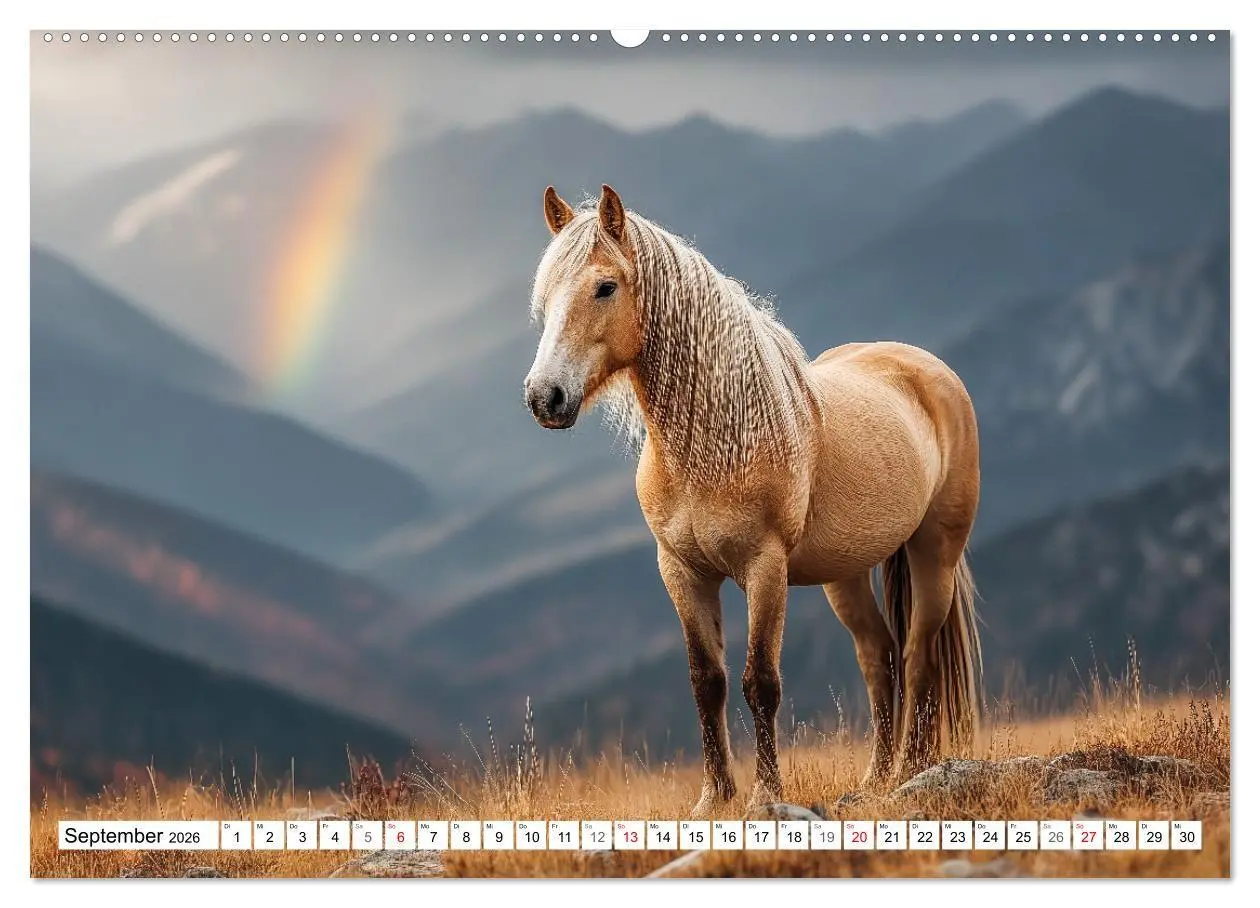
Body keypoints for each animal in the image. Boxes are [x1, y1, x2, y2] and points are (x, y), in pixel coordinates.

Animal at [523, 183, 982, 814]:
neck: (713, 442)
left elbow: (759, 682)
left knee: (917, 654)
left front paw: (765, 794)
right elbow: (707, 682)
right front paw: (714, 799)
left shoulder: (764, 569)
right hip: (846, 574)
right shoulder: (682, 571)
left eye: (605, 287)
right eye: (545, 297)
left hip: (934, 551)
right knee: (878, 656)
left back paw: (913, 768)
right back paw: (876, 779)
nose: (544, 397)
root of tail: (928, 369)